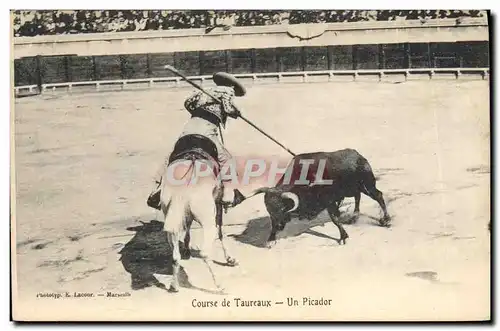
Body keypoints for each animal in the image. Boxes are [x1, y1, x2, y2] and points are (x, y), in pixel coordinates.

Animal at [230, 149, 390, 248]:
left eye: (282, 208)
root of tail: (358, 156)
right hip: (354, 189)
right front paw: (270, 239)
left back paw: (385, 220)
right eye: (268, 209)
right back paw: (354, 217)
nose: (281, 226)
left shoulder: (330, 202)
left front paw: (344, 237)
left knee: (379, 196)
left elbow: (335, 219)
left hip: (367, 185)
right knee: (358, 197)